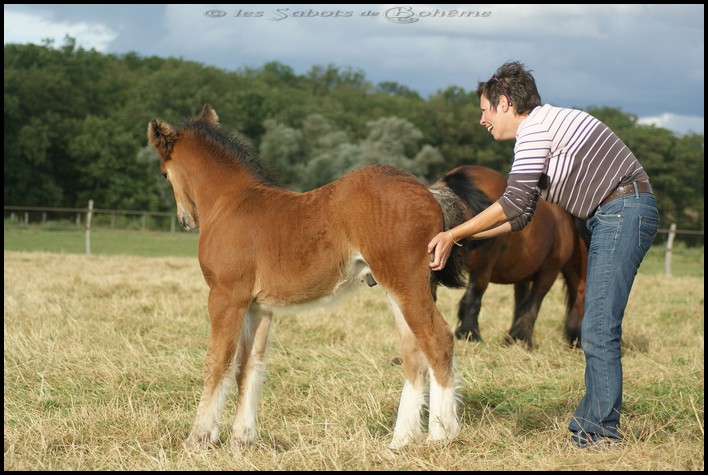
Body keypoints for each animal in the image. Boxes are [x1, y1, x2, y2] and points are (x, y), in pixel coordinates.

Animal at [146, 104, 472, 450]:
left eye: (164, 173)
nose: (186, 219)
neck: (230, 202)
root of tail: (429, 193)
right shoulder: (258, 306)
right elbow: (249, 365)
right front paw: (242, 438)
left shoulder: (225, 297)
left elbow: (217, 362)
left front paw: (199, 437)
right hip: (398, 287)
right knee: (413, 353)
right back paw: (401, 439)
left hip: (406, 282)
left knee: (438, 340)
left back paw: (441, 434)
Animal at [434, 165, 588, 348]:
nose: (578, 343)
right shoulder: (549, 271)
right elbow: (532, 305)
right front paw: (522, 339)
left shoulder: (522, 277)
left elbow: (520, 304)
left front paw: (513, 338)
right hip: (485, 263)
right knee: (475, 293)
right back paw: (471, 333)